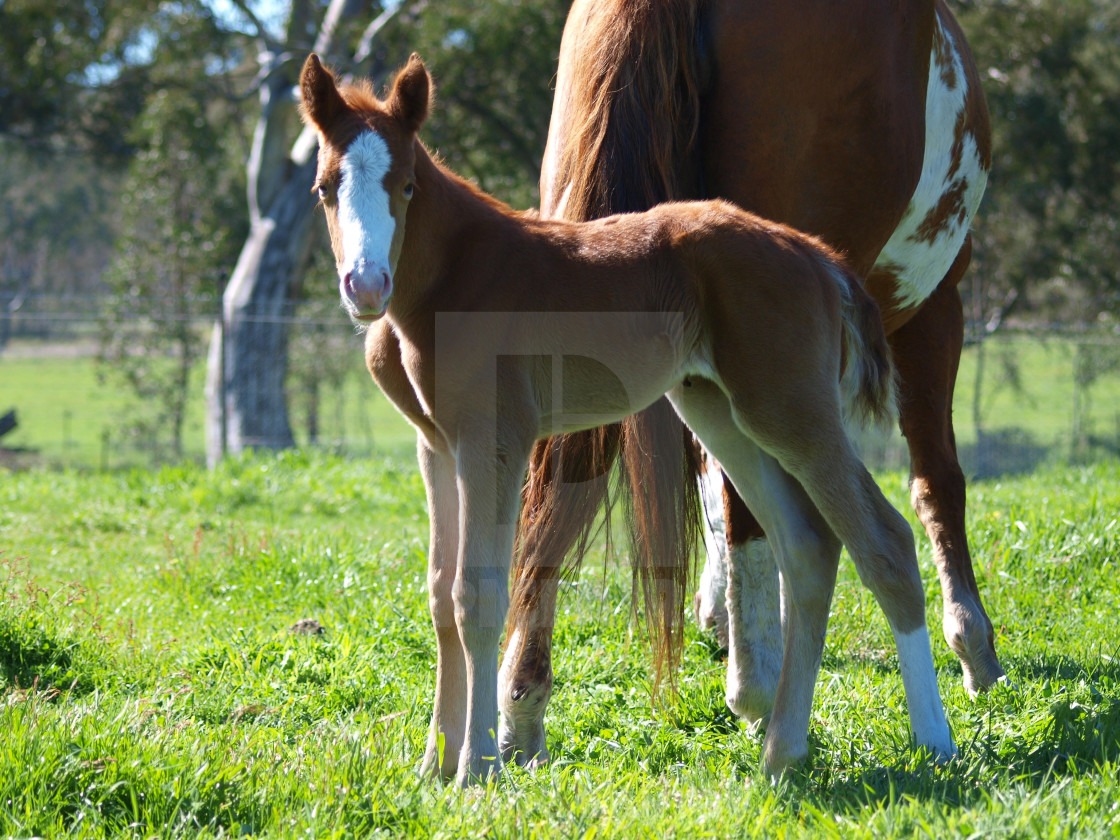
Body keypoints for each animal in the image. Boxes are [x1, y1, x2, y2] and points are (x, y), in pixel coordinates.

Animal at [297, 54, 954, 788]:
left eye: (406, 185)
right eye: (324, 188)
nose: (366, 286)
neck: (450, 278)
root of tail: (816, 255)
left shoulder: (493, 439)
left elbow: (479, 594)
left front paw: (477, 768)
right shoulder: (434, 445)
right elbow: (441, 595)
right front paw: (432, 765)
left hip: (791, 409)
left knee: (883, 539)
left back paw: (934, 742)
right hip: (720, 410)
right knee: (809, 545)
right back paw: (782, 753)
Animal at [497, 0, 999, 770]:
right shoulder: (937, 304)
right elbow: (937, 477)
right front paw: (972, 643)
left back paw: (522, 702)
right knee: (780, 515)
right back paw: (765, 687)